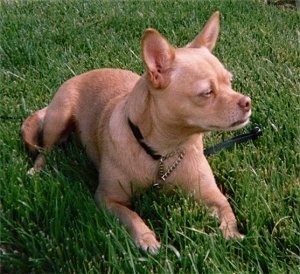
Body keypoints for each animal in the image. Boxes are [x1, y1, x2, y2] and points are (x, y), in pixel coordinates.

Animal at [21, 11, 251, 254]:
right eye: (207, 93)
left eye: (230, 82)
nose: (247, 102)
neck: (163, 153)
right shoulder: (108, 199)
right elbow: (131, 216)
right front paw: (146, 239)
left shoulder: (211, 194)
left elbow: (226, 209)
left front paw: (232, 234)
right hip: (60, 116)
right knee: (44, 150)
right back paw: (36, 170)